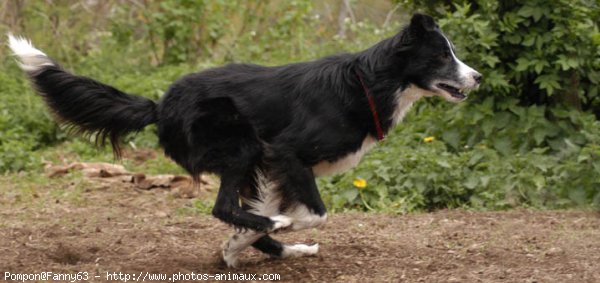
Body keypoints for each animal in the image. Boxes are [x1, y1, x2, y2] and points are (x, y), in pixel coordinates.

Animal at [8, 12, 478, 266]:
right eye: (442, 55)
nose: (476, 77)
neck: (367, 82)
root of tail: (161, 104)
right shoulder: (286, 153)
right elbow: (316, 213)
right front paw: (275, 227)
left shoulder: (275, 166)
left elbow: (262, 215)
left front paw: (237, 246)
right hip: (241, 146)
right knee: (222, 206)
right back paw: (279, 233)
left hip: (248, 158)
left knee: (236, 209)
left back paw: (285, 250)